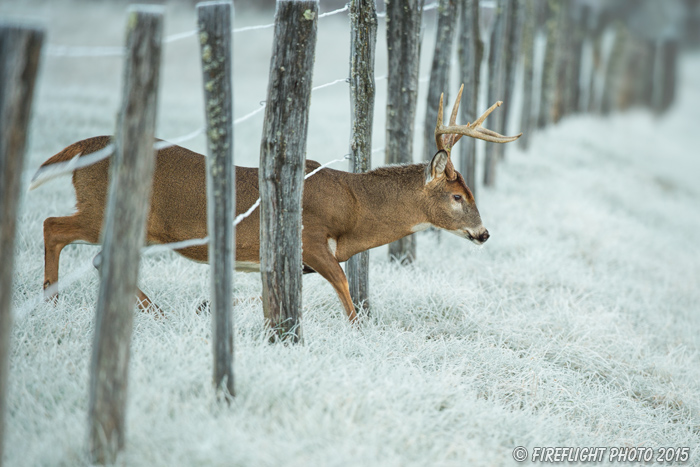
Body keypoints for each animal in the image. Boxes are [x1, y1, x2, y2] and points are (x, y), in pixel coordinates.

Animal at [32, 85, 520, 322]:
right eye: (458, 197)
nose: (483, 233)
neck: (356, 209)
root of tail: (81, 149)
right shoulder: (310, 238)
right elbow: (345, 291)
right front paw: (362, 335)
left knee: (97, 255)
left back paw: (157, 313)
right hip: (104, 209)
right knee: (52, 225)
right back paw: (51, 302)